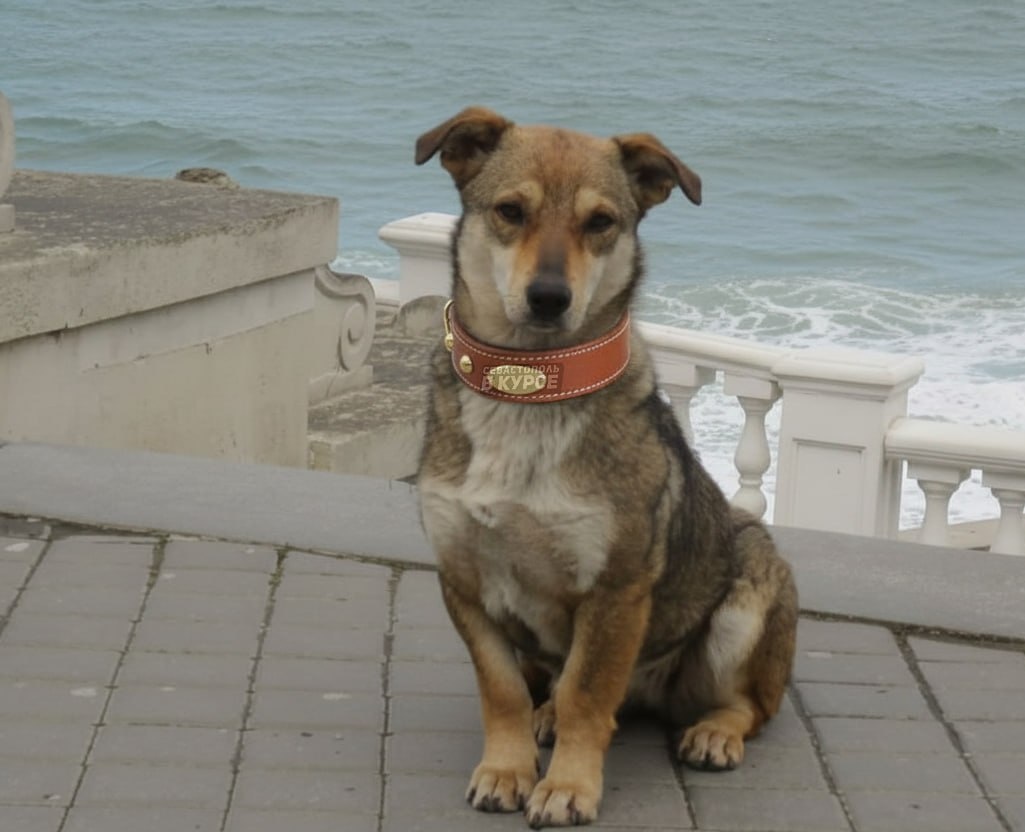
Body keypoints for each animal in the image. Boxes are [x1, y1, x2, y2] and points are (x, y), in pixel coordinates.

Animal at [415, 106, 797, 829]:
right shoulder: (462, 581)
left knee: (753, 706)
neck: (530, 388)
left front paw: (568, 786)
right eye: (510, 211)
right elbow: (502, 691)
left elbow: (587, 697)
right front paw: (506, 769)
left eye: (600, 222)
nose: (548, 297)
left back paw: (714, 732)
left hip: (749, 593)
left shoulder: (614, 589)